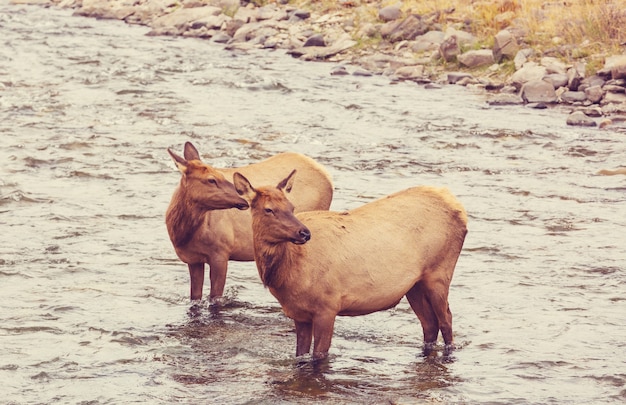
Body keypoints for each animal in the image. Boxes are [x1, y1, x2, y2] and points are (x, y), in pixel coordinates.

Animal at [165, 140, 332, 302]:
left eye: (221, 174)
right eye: (211, 180)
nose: (244, 197)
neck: (183, 235)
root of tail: (328, 176)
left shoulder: (221, 253)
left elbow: (215, 297)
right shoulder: (193, 259)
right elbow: (195, 297)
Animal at [232, 170, 466, 360]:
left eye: (292, 207)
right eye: (268, 209)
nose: (304, 233)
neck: (286, 276)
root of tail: (459, 207)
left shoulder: (328, 306)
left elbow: (319, 356)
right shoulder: (299, 314)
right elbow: (300, 355)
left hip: (440, 272)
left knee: (446, 320)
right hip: (414, 285)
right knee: (429, 324)